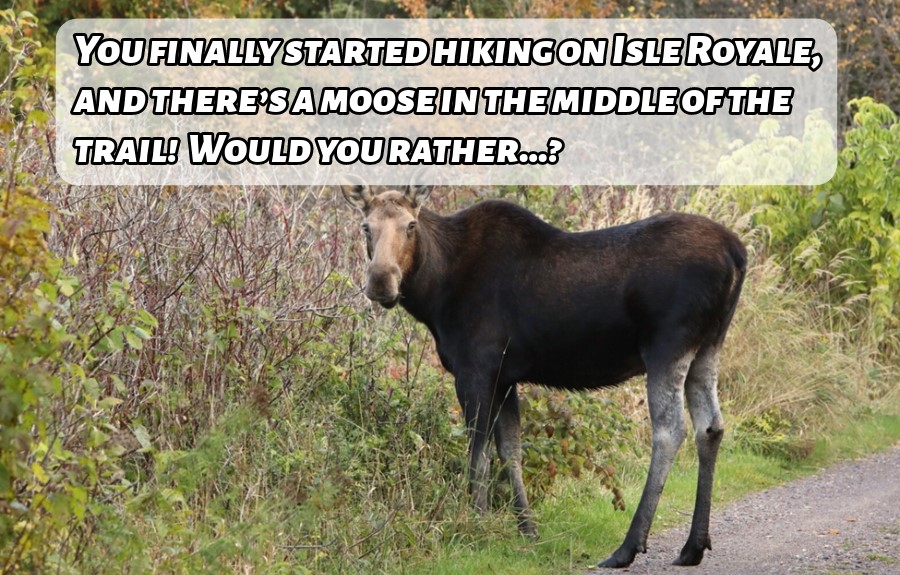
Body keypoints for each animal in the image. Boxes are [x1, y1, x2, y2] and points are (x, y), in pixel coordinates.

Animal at [341, 183, 746, 568]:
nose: (381, 282)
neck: (435, 292)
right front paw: (527, 530)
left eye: (410, 225)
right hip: (707, 347)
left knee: (670, 430)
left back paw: (627, 547)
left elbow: (478, 455)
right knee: (710, 427)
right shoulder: (505, 378)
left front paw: (475, 523)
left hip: (667, 345)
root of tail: (737, 252)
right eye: (366, 227)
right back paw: (693, 546)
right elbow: (511, 452)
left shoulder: (475, 369)